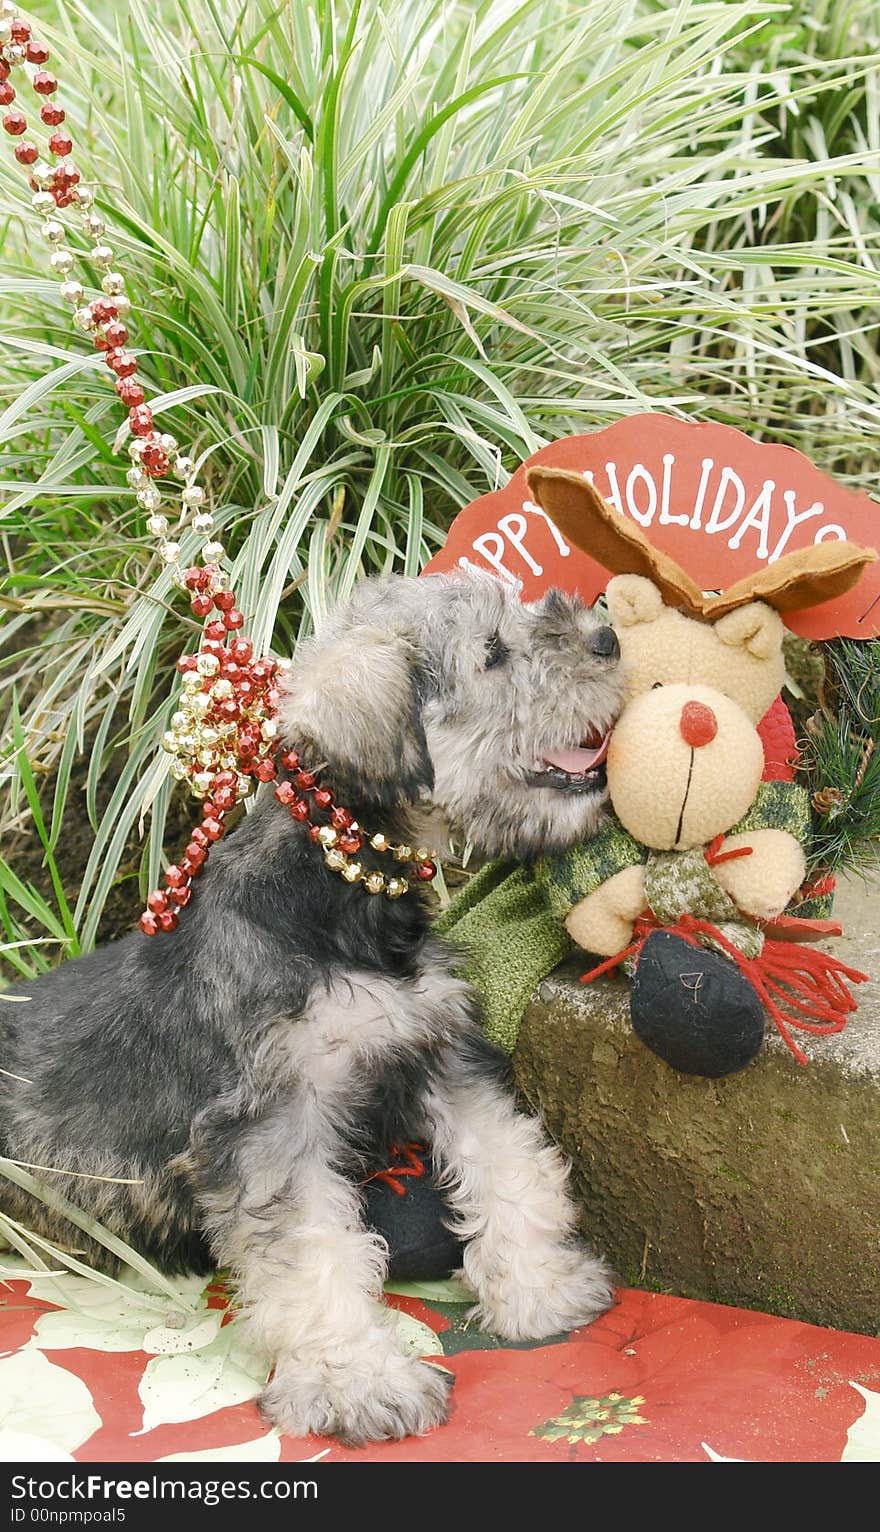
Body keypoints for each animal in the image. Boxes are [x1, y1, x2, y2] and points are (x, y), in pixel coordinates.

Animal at [0, 569, 625, 1440]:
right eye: (494, 653)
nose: (610, 637)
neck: (339, 894)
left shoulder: (441, 1054)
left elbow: (511, 1165)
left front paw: (542, 1289)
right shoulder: (270, 1128)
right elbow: (315, 1256)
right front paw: (357, 1382)